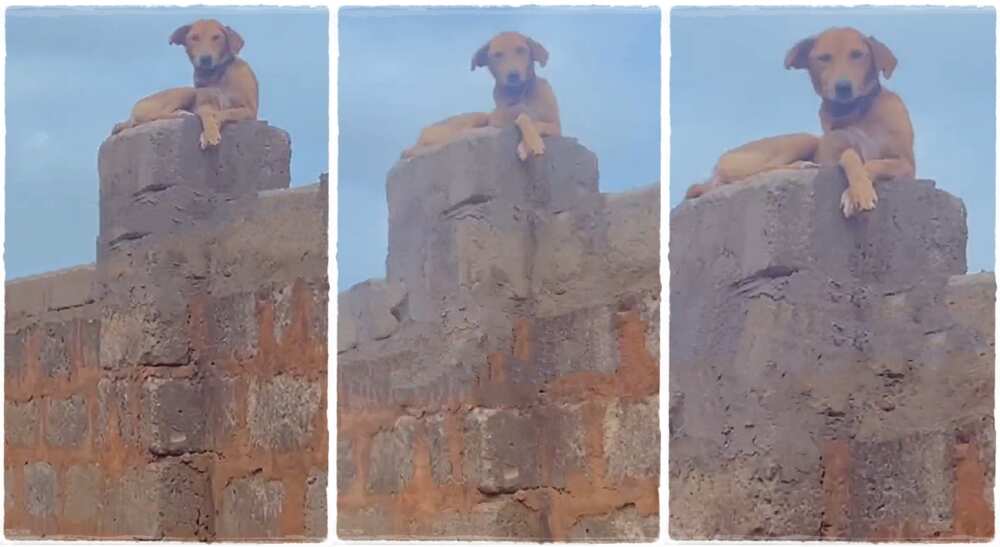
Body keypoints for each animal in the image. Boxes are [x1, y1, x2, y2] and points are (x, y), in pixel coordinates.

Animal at [110, 19, 258, 150]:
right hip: (186, 91)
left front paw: (209, 133)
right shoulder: (204, 104)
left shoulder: (250, 111)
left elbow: (221, 113)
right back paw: (182, 113)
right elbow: (209, 114)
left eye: (216, 37)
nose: (205, 59)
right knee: (150, 116)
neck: (217, 74)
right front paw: (209, 132)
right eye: (194, 38)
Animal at [404, 32, 564, 162]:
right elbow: (523, 117)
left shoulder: (556, 126)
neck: (519, 94)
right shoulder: (500, 120)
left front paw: (529, 144)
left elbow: (532, 121)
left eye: (521, 50)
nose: (513, 75)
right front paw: (531, 143)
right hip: (473, 118)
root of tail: (423, 131)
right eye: (497, 55)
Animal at [688, 26, 916, 218]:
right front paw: (858, 190)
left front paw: (856, 193)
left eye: (857, 55)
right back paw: (801, 165)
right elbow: (851, 155)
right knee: (754, 172)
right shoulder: (833, 154)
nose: (843, 87)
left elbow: (874, 163)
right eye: (824, 58)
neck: (856, 113)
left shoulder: (907, 165)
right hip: (802, 140)